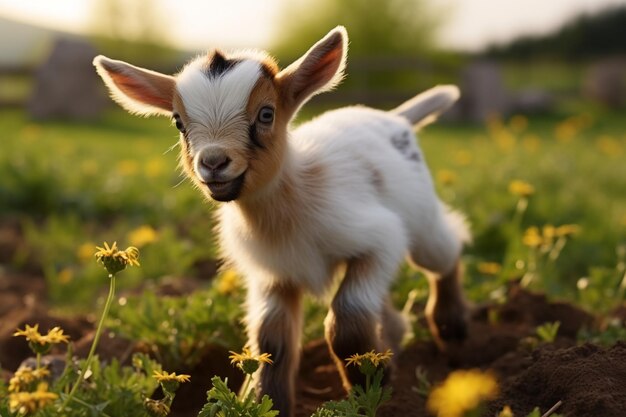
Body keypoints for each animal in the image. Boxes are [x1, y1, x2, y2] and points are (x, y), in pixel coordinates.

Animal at [94, 26, 468, 416]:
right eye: (178, 122)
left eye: (266, 114)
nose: (213, 162)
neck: (290, 198)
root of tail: (396, 117)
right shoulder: (273, 275)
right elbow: (271, 342)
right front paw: (268, 400)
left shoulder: (379, 239)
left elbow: (346, 320)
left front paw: (369, 391)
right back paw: (395, 343)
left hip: (422, 223)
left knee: (447, 248)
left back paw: (451, 330)